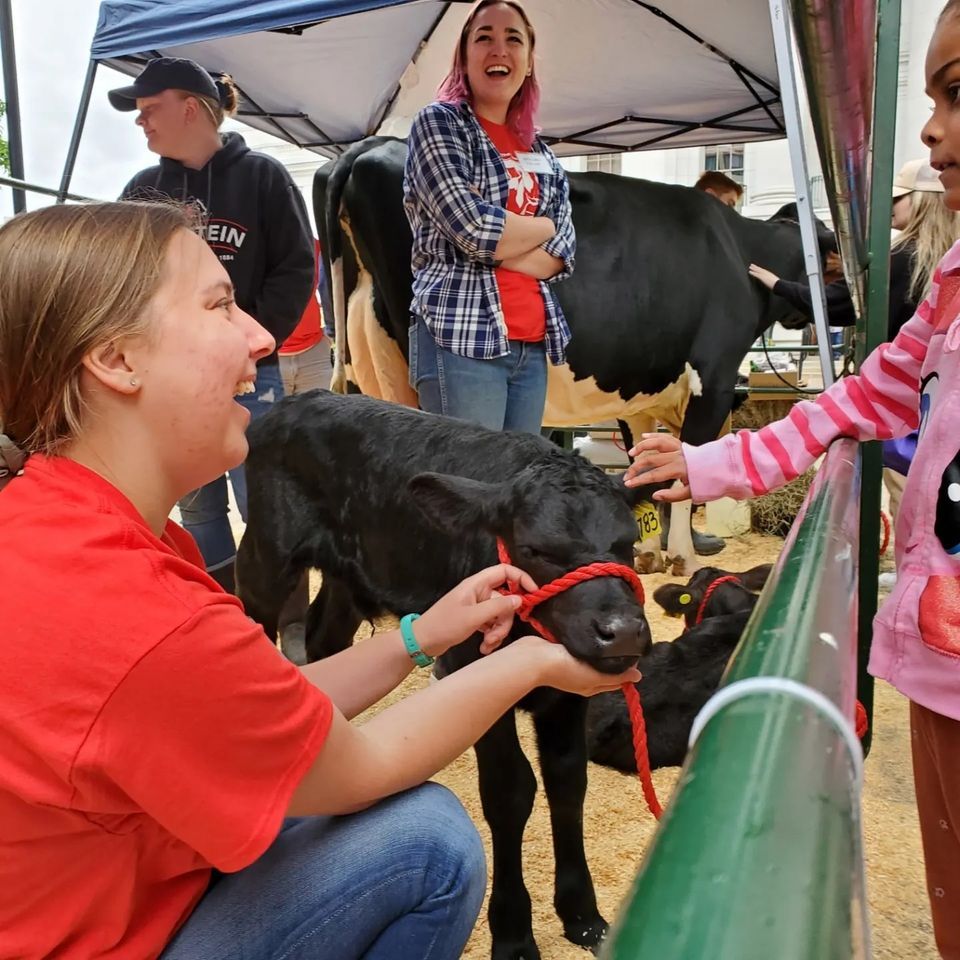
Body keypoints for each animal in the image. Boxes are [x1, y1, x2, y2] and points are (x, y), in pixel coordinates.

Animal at [236, 390, 664, 960]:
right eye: (535, 549)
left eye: (627, 542)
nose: (622, 633)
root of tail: (301, 399)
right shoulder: (474, 669)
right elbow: (510, 791)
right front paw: (513, 935)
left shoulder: (566, 695)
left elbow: (568, 781)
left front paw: (582, 915)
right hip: (266, 556)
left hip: (352, 578)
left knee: (328, 640)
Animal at [316, 139, 832, 572]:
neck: (738, 250)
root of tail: (369, 146)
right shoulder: (715, 379)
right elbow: (685, 470)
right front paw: (682, 559)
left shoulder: (641, 394)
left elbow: (645, 468)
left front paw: (646, 553)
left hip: (375, 369)